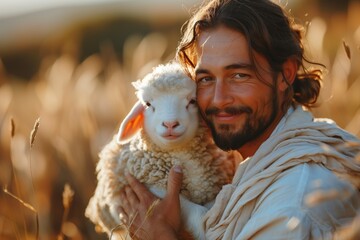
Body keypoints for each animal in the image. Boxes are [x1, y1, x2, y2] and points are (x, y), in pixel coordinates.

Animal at [84, 61, 239, 238]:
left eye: (192, 101)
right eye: (148, 104)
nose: (170, 124)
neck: (180, 155)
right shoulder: (153, 188)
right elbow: (196, 212)